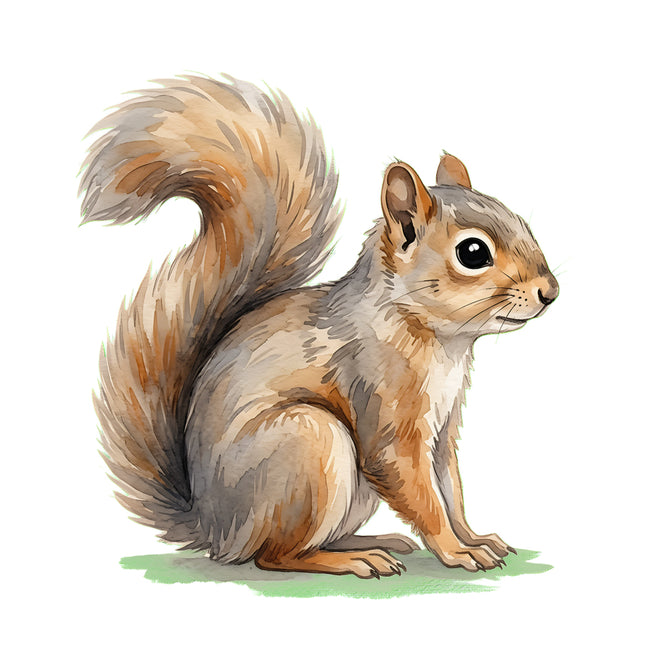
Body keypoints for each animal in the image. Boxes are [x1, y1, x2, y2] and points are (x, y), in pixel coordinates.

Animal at [80, 75, 559, 578]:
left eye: (522, 223)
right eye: (473, 253)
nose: (551, 291)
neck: (432, 335)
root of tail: (214, 529)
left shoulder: (443, 430)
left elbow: (451, 488)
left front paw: (475, 538)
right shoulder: (383, 406)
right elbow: (419, 492)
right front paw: (455, 551)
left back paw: (373, 540)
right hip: (308, 443)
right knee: (275, 555)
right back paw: (353, 560)